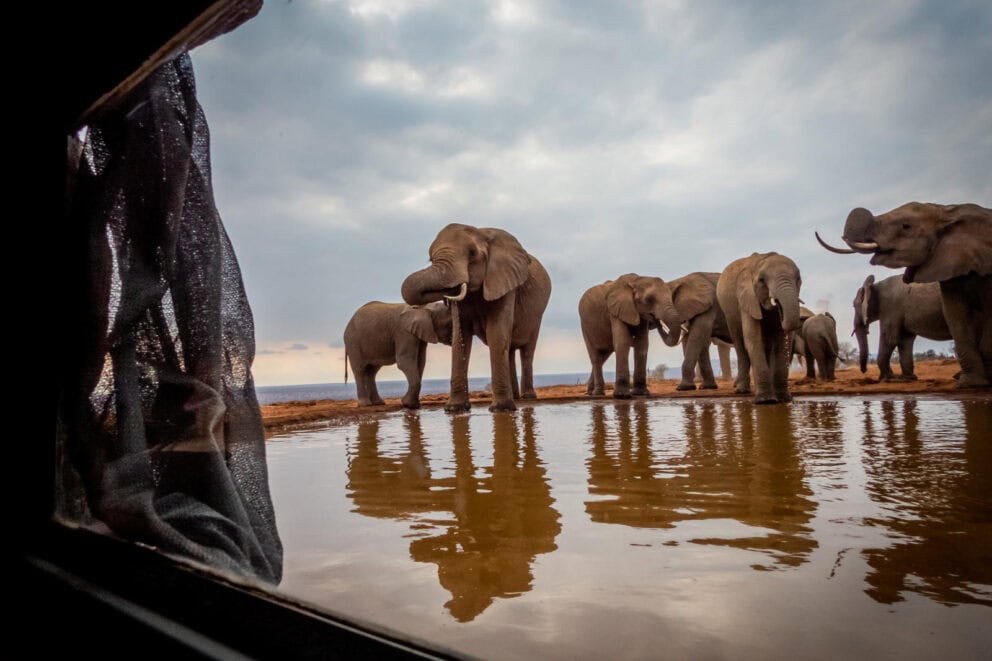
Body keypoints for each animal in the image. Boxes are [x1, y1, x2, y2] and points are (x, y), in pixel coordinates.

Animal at [401, 224, 552, 412]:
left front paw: (501, 409)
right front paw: (455, 409)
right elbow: (461, 336)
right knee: (509, 350)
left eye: (472, 253)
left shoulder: (504, 282)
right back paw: (516, 397)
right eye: (430, 259)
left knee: (527, 351)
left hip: (536, 317)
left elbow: (496, 332)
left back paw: (527, 397)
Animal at [716, 252, 803, 404]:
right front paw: (765, 401)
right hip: (729, 314)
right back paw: (742, 390)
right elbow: (753, 338)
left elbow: (781, 343)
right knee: (740, 345)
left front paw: (784, 399)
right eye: (762, 281)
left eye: (798, 279)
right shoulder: (747, 300)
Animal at [817, 202, 991, 387]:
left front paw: (887, 379)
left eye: (854, 305)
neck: (876, 284)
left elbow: (890, 338)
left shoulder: (890, 306)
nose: (863, 372)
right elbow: (905, 341)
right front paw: (906, 379)